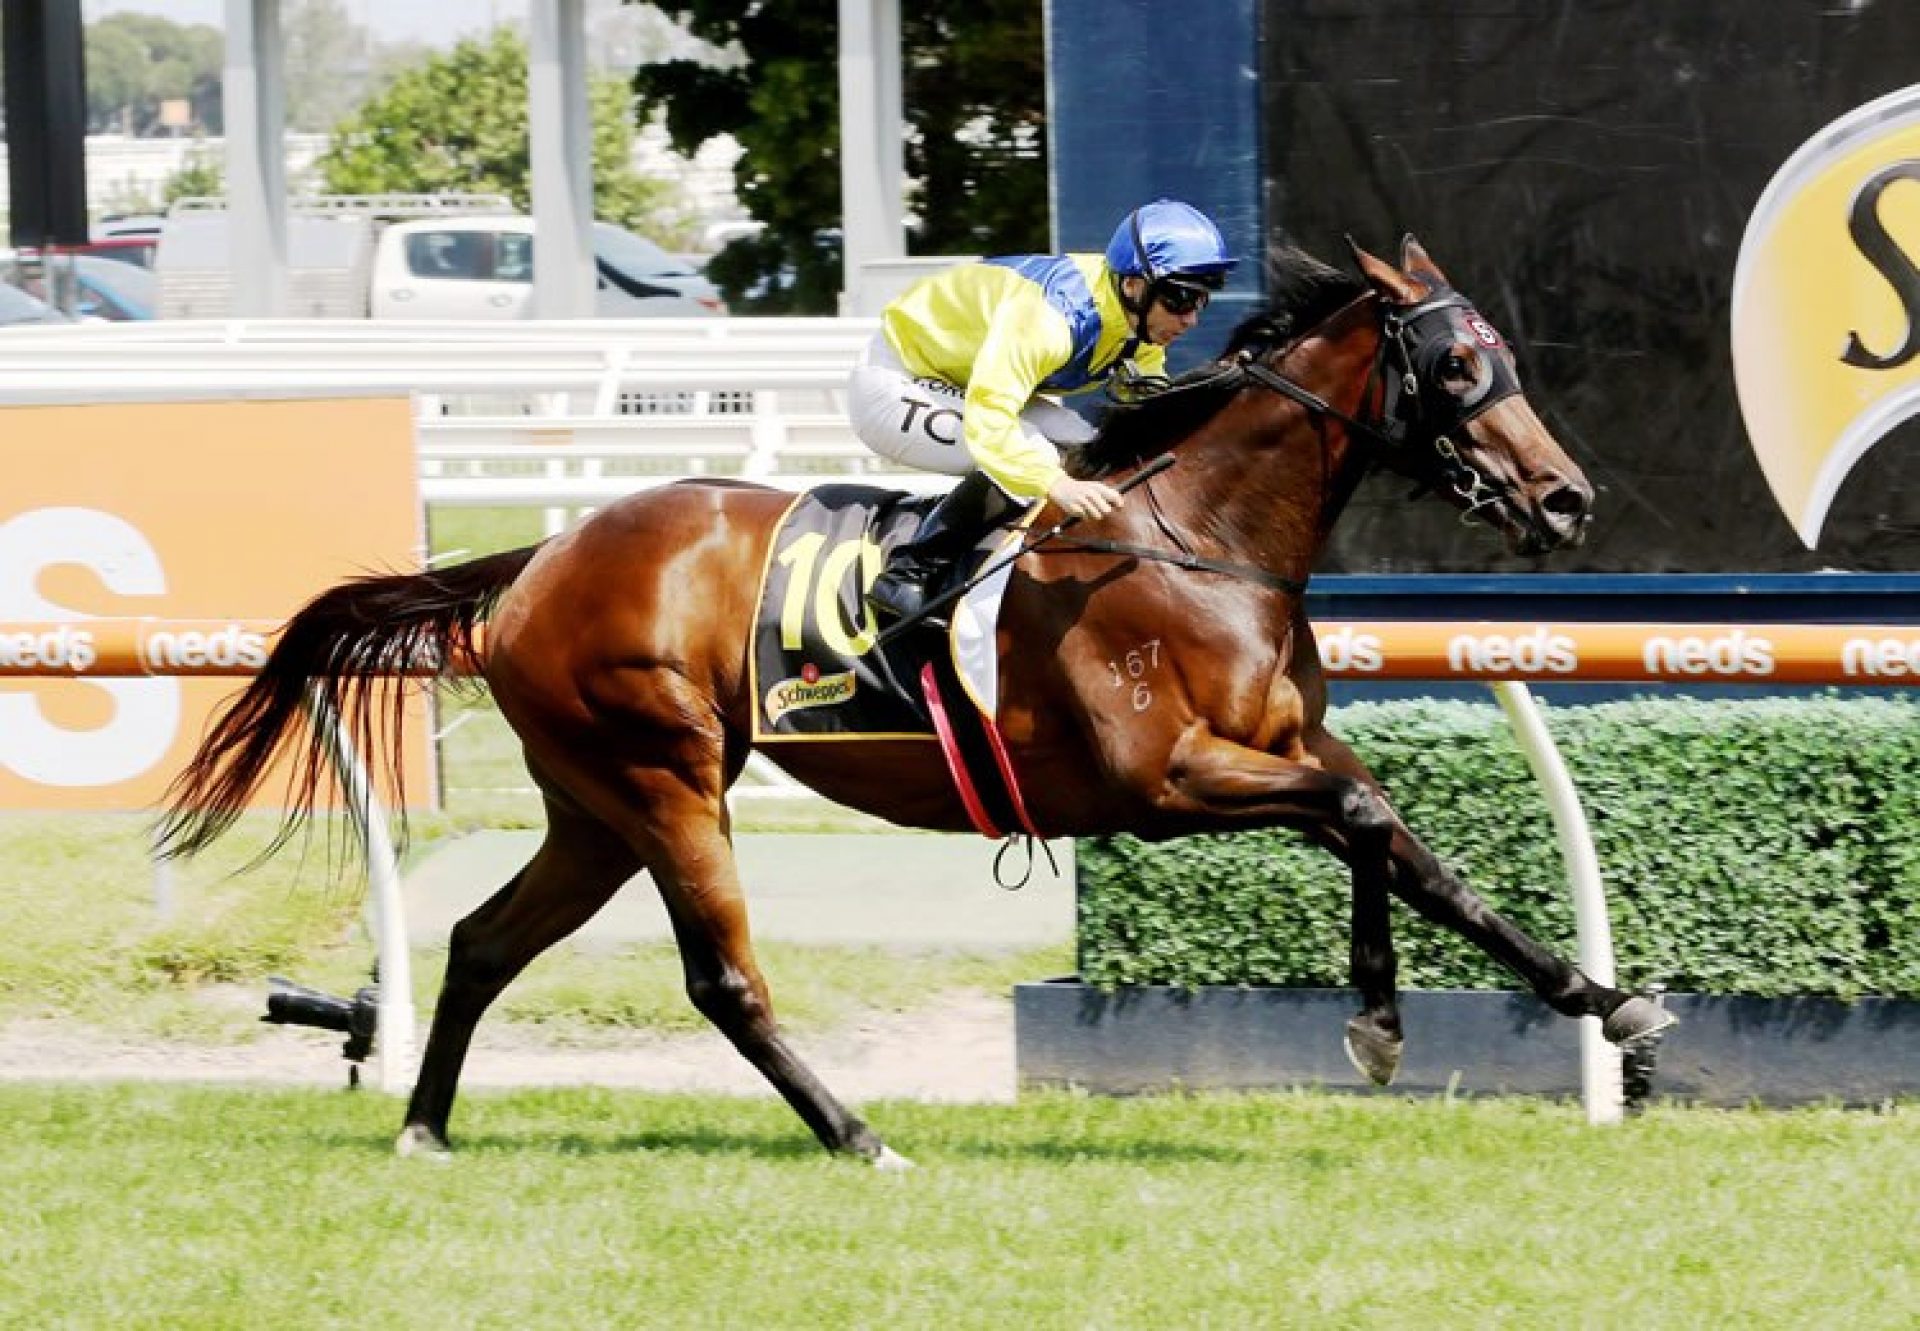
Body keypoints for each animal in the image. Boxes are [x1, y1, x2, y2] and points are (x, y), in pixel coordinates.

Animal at [157, 239, 1674, 1160]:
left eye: (1507, 359)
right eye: (1460, 365)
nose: (1565, 497)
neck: (1196, 534)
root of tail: (539, 558)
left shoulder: (1279, 742)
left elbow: (1405, 845)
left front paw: (1595, 1005)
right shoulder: (1166, 779)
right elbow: (1364, 821)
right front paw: (1394, 1020)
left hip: (593, 805)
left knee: (481, 939)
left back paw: (425, 1124)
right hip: (663, 775)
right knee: (721, 976)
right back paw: (856, 1133)